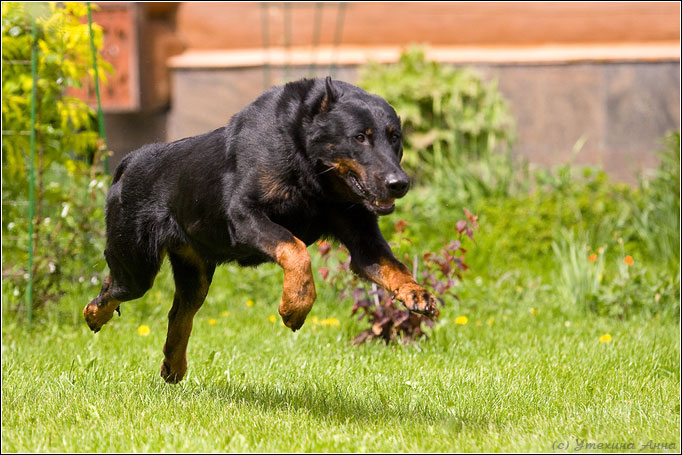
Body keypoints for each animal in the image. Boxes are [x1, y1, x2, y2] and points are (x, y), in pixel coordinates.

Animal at [83, 76, 436, 382]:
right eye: (359, 137)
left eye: (395, 138)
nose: (399, 183)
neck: (312, 170)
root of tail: (130, 160)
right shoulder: (244, 215)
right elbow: (295, 249)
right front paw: (295, 305)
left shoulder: (363, 240)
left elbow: (394, 266)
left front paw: (417, 292)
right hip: (137, 267)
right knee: (112, 287)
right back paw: (93, 314)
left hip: (194, 274)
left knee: (179, 313)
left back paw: (173, 366)